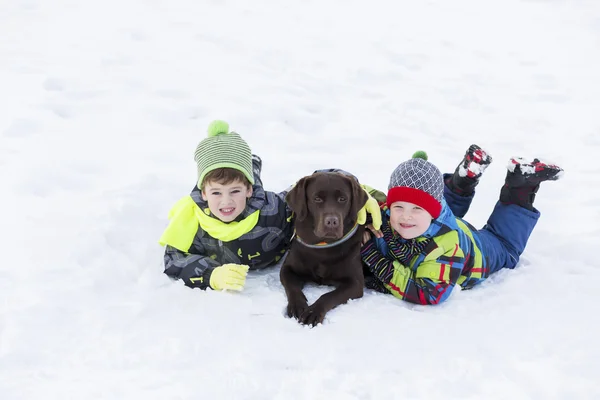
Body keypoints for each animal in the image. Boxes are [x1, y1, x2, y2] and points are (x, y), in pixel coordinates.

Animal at [278, 171, 368, 324]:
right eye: (317, 199)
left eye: (342, 199)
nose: (331, 222)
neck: (323, 247)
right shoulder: (287, 269)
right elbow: (292, 288)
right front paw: (297, 306)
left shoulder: (355, 283)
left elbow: (329, 295)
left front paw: (313, 312)